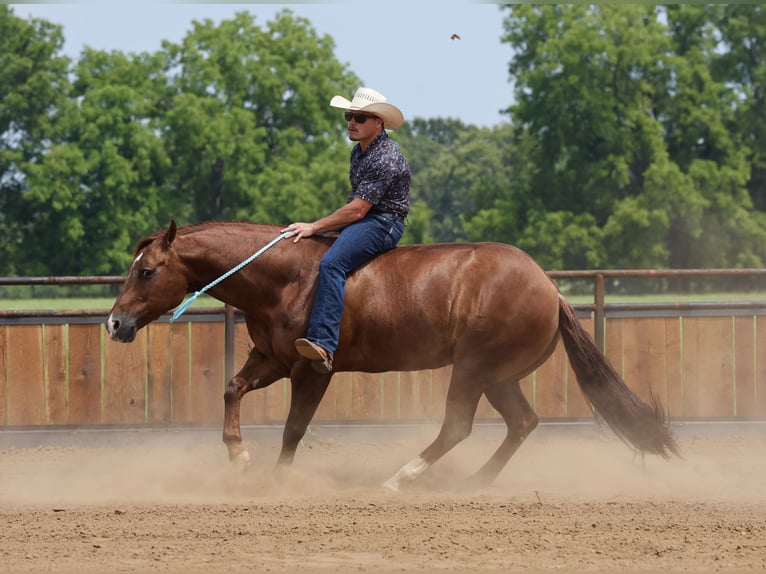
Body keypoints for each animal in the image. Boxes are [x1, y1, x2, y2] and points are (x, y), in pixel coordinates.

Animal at [106, 220, 678, 490]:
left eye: (147, 271)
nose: (114, 323)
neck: (287, 277)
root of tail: (549, 287)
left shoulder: (313, 367)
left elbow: (294, 427)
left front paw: (279, 478)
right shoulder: (270, 360)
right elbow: (231, 388)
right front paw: (239, 456)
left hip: (475, 370)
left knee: (457, 427)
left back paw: (400, 480)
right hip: (498, 376)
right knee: (522, 422)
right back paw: (474, 483)